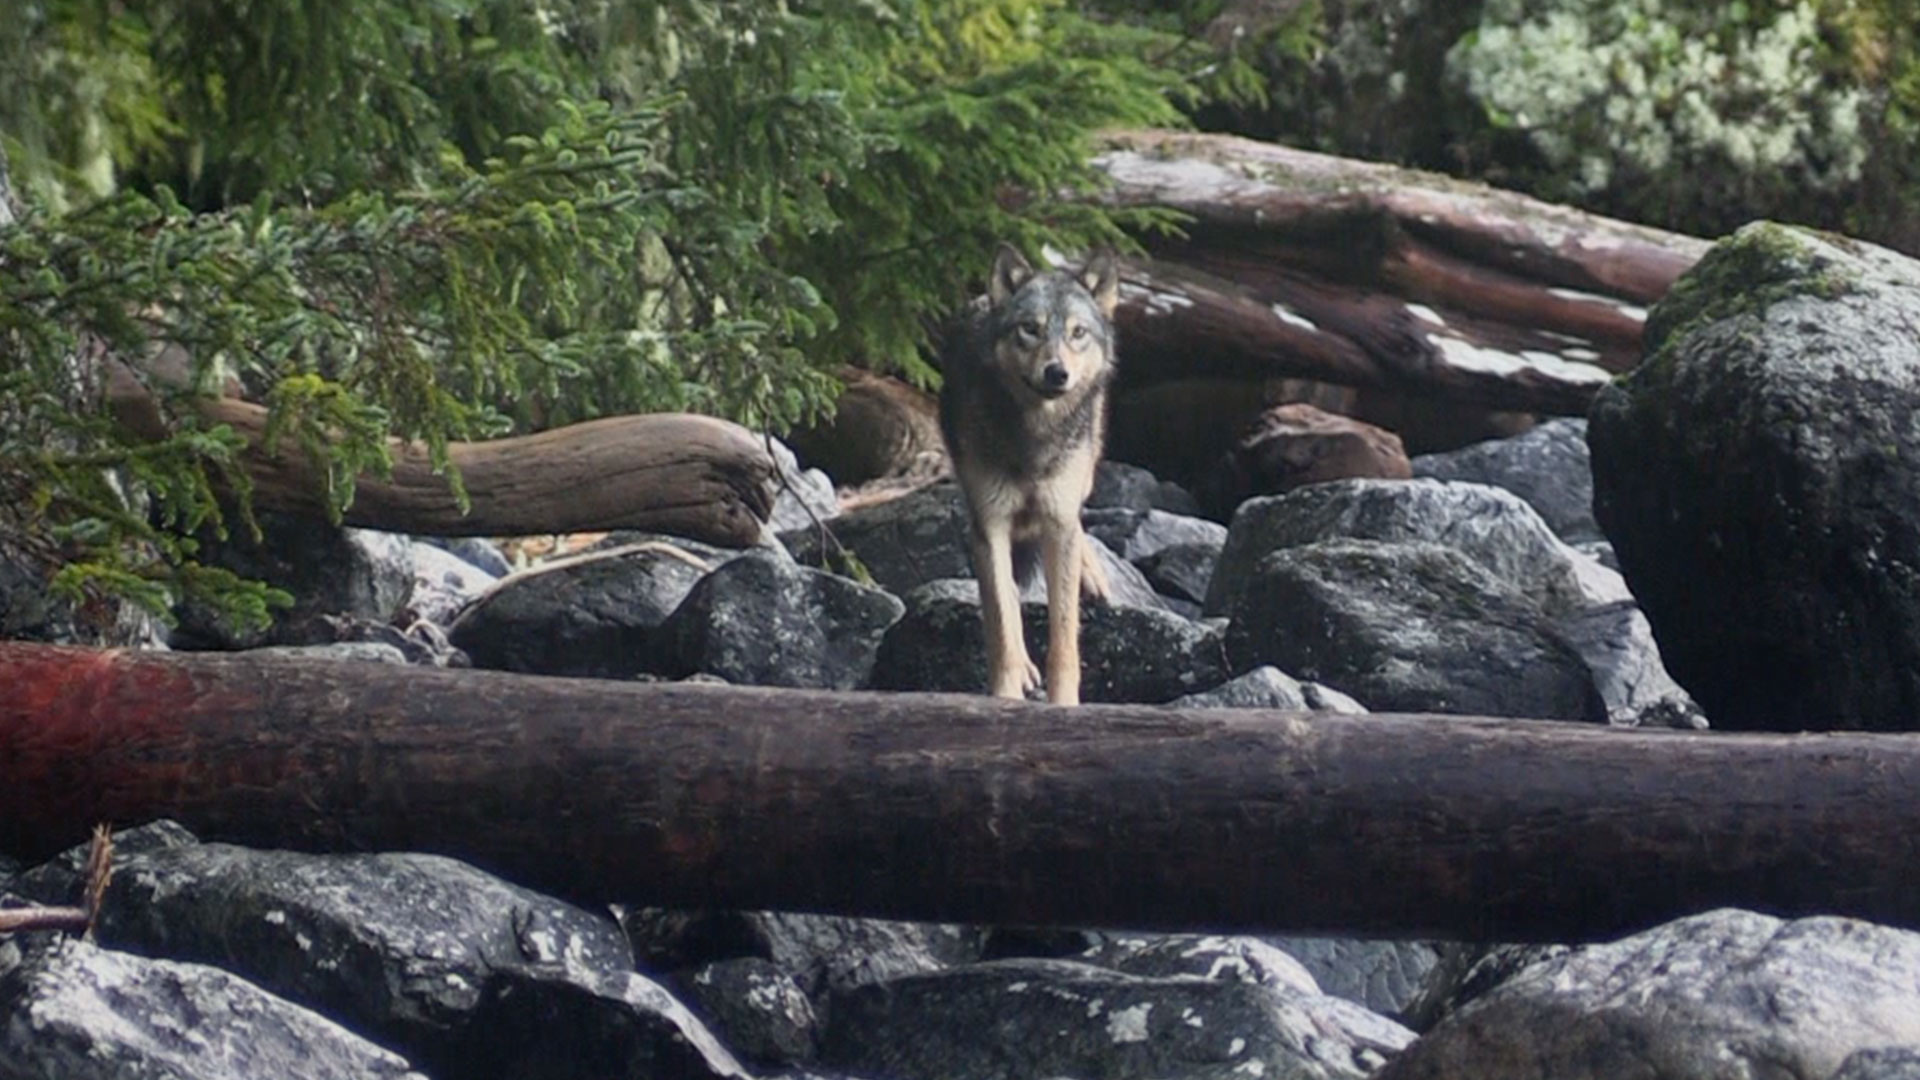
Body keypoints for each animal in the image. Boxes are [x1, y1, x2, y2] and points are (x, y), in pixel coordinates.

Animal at [939, 244, 1120, 705]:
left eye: (1077, 333)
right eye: (1030, 330)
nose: (1057, 372)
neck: (1034, 438)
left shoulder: (1057, 519)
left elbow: (1064, 636)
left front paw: (1064, 703)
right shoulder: (990, 524)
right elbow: (1003, 620)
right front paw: (1006, 694)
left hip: (1085, 473)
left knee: (1078, 524)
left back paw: (1092, 573)